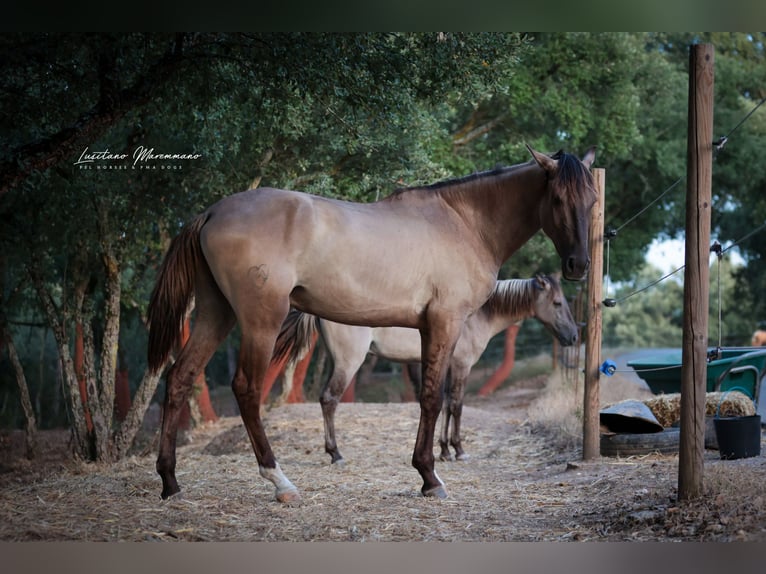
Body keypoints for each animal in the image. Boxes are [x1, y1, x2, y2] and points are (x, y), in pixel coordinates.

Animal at [273, 274, 579, 464]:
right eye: (557, 303)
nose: (574, 335)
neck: (474, 315)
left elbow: (443, 405)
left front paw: (443, 451)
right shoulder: (462, 366)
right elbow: (456, 405)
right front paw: (458, 450)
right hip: (349, 363)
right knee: (329, 399)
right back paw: (335, 454)